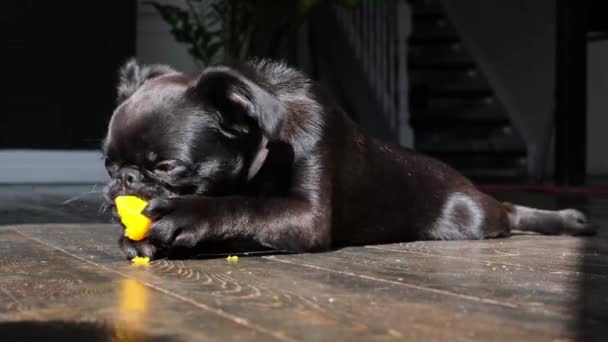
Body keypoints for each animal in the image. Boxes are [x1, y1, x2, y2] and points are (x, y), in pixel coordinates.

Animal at [103, 60, 592, 260]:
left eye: (167, 167)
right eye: (108, 164)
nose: (125, 178)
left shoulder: (305, 217)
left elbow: (241, 205)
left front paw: (186, 214)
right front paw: (141, 240)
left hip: (469, 217)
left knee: (505, 210)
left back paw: (567, 219)